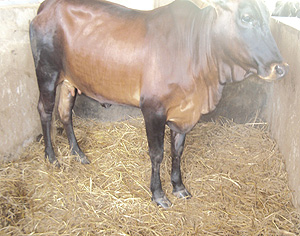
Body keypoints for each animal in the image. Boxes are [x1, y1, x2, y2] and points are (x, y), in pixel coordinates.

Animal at [29, 0, 288, 207]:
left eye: (269, 16)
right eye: (247, 17)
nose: (281, 68)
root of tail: (47, 6)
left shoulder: (184, 113)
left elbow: (177, 151)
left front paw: (179, 186)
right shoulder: (153, 109)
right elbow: (157, 153)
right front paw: (158, 194)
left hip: (69, 81)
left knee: (65, 112)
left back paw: (78, 153)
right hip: (47, 73)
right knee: (45, 111)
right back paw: (52, 157)